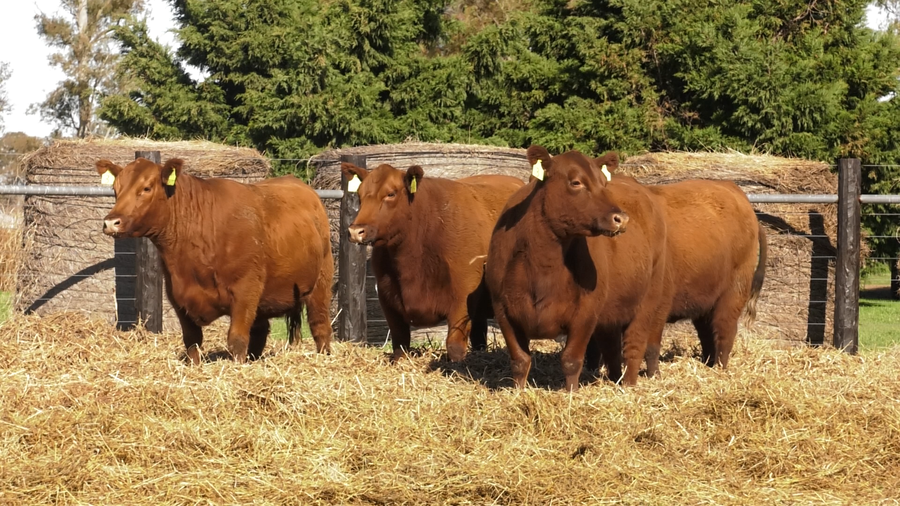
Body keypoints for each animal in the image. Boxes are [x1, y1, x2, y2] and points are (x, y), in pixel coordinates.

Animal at [96, 157, 334, 365]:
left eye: (146, 188)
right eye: (115, 189)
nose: (111, 222)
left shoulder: (245, 291)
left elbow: (237, 339)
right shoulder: (177, 296)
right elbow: (192, 341)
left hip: (320, 283)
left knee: (320, 326)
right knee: (260, 332)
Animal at [340, 162, 525, 362]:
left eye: (391, 194)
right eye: (359, 195)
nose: (356, 231)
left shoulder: (462, 298)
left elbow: (454, 346)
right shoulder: (387, 299)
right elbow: (400, 346)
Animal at [485, 146, 671, 390]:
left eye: (603, 183)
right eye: (576, 182)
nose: (621, 218)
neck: (542, 264)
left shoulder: (587, 311)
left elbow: (571, 360)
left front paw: (570, 393)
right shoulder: (502, 308)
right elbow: (519, 360)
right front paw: (519, 392)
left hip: (648, 299)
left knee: (634, 346)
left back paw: (628, 386)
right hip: (612, 311)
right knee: (611, 349)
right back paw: (614, 379)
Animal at [587, 159, 767, 374]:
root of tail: (733, 189)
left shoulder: (658, 304)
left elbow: (651, 345)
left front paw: (653, 374)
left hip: (734, 292)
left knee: (724, 330)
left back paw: (719, 368)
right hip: (705, 296)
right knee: (707, 333)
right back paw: (708, 362)